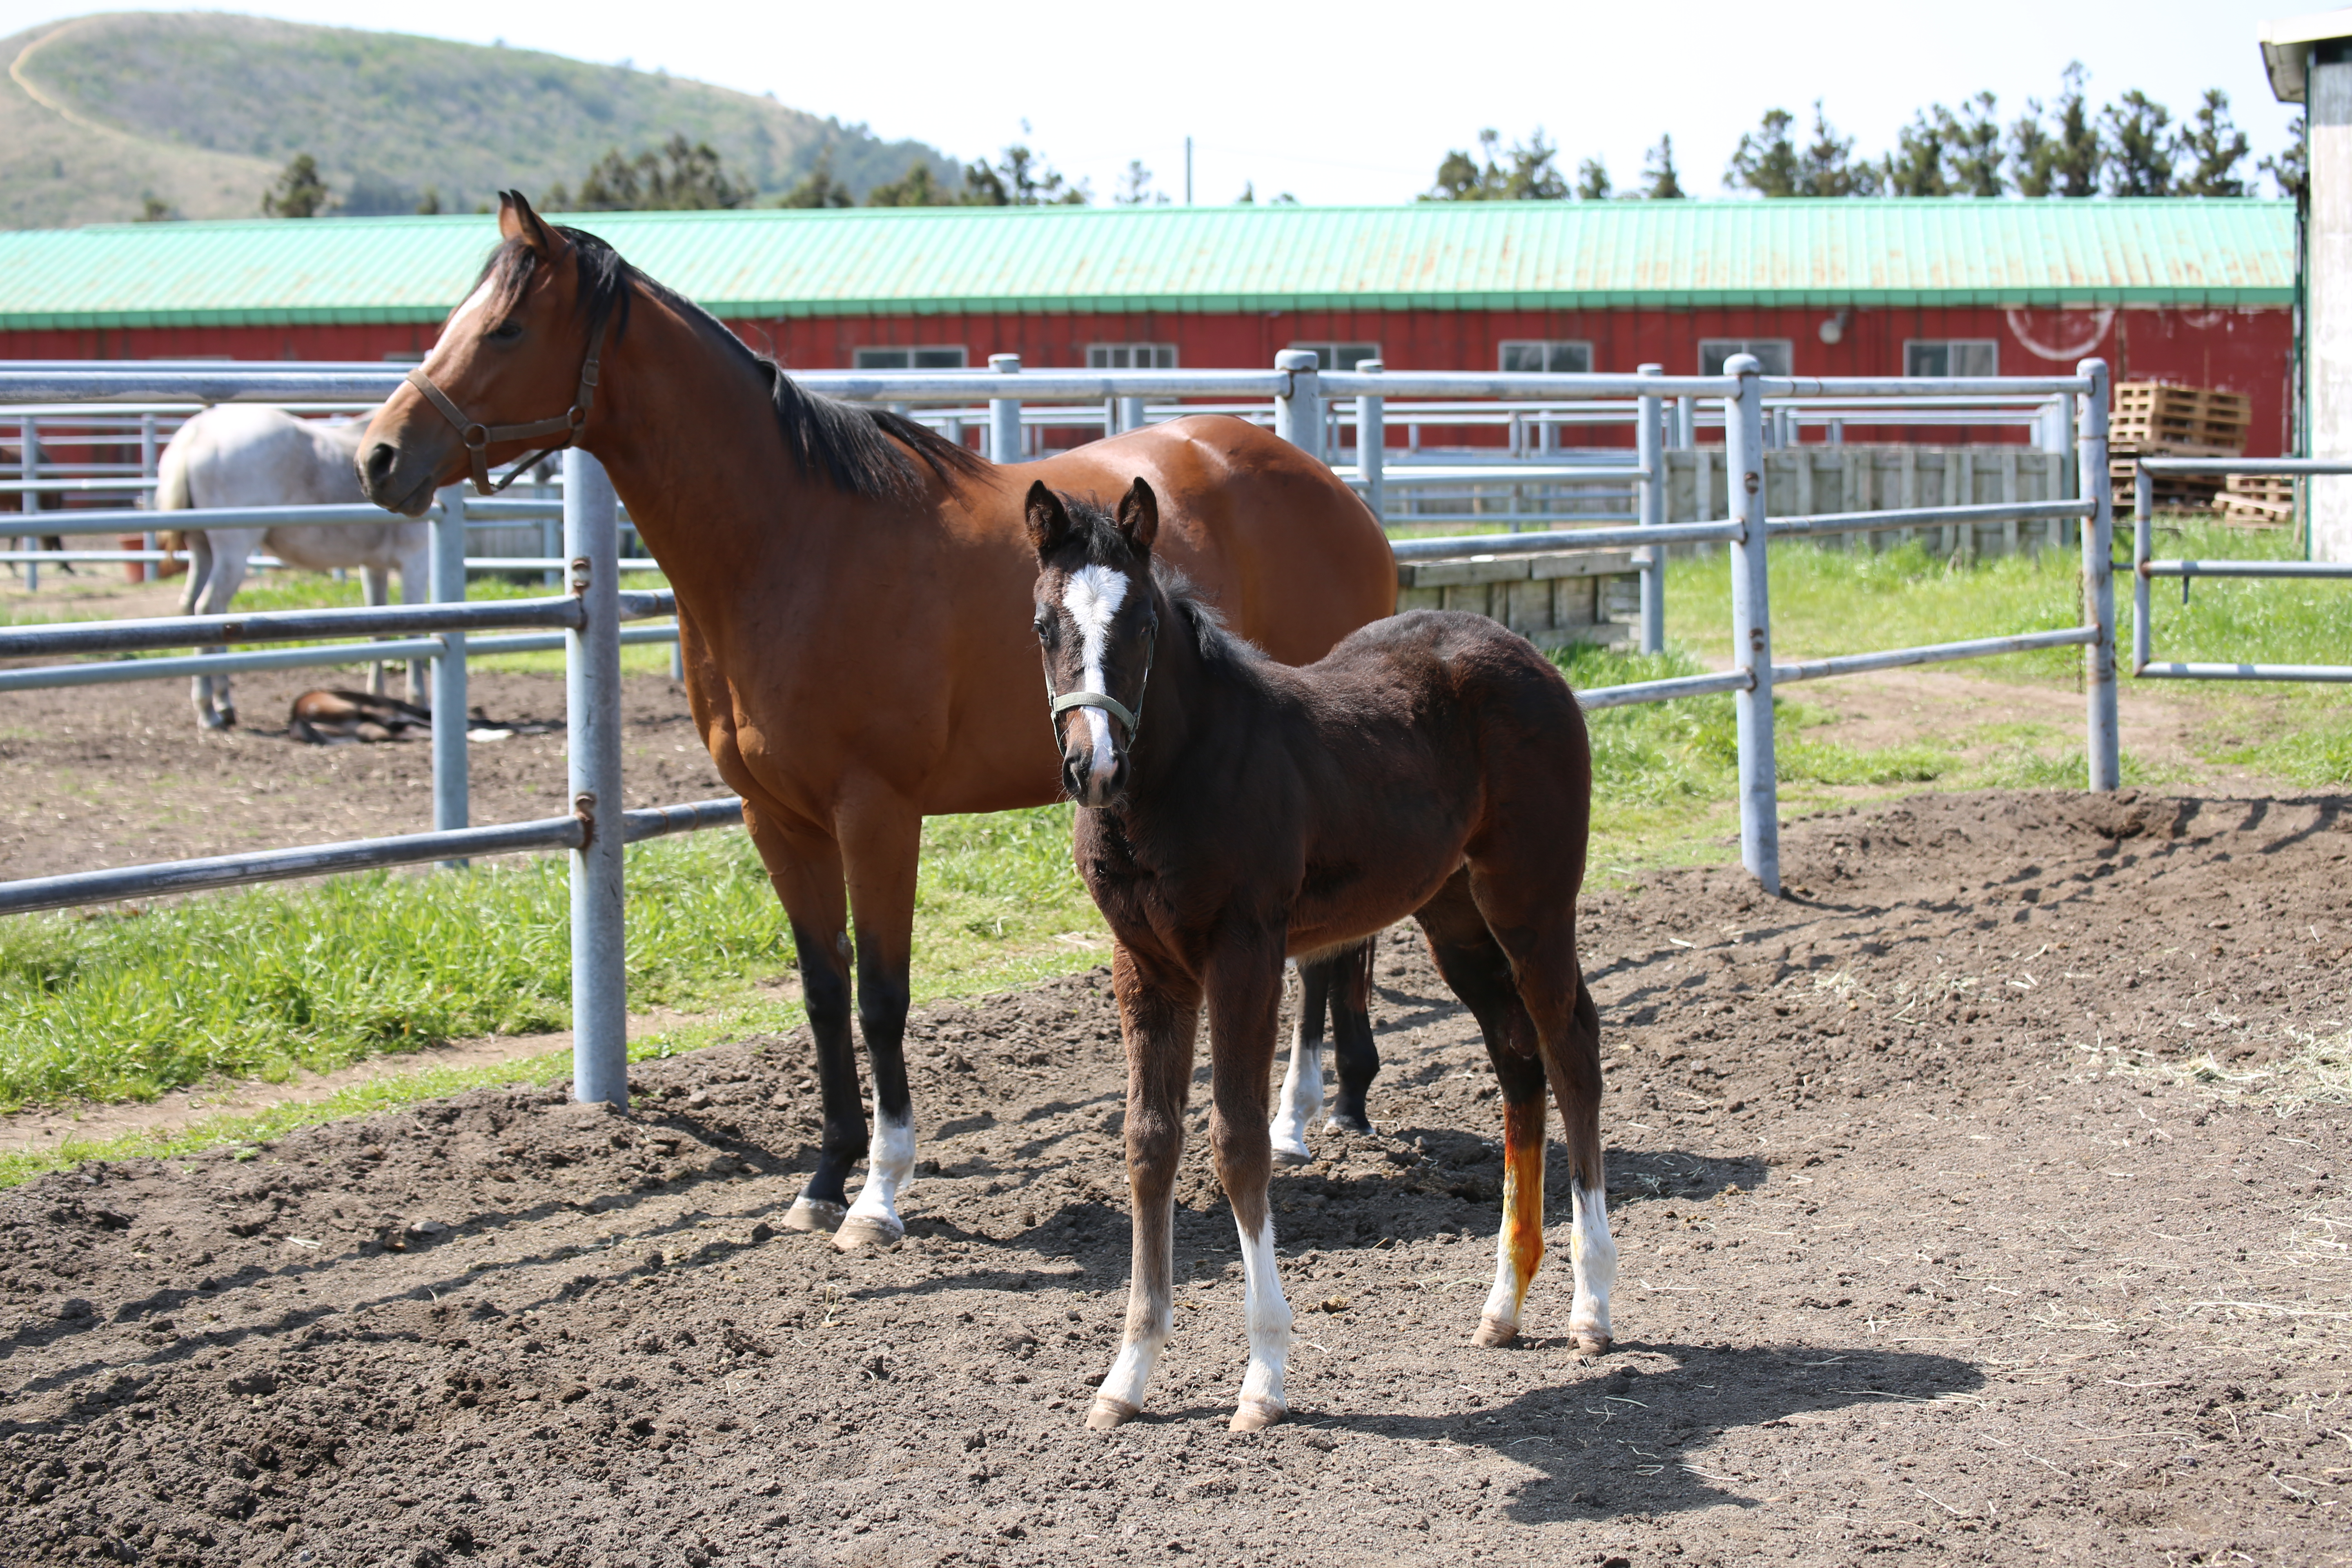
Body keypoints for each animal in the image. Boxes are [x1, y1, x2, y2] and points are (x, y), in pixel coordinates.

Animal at [160, 402, 428, 728]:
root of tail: (196, 432)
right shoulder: (415, 560)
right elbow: (413, 632)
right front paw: (419, 700)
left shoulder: (373, 566)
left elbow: (381, 629)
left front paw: (378, 695)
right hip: (233, 549)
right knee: (210, 607)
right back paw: (209, 711)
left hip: (202, 549)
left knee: (193, 609)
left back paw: (221, 704)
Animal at [353, 193, 1392, 1250]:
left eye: (505, 329)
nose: (378, 454)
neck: (793, 543)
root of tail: (1331, 489)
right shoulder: (777, 818)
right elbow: (823, 992)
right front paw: (823, 1176)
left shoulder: (877, 813)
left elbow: (882, 996)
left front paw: (880, 1192)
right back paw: (1342, 1098)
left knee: (1325, 949)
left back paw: (1298, 1117)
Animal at [1030, 479, 1618, 1439]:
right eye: (1046, 624)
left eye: (1143, 624)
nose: (1093, 765)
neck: (1176, 778)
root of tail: (1526, 655)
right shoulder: (1144, 967)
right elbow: (1149, 1142)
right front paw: (1127, 1375)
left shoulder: (1246, 952)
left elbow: (1238, 1142)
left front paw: (1264, 1376)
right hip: (1454, 917)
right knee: (1515, 1058)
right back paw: (1504, 1305)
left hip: (1531, 902)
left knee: (1570, 1049)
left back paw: (1591, 1307)